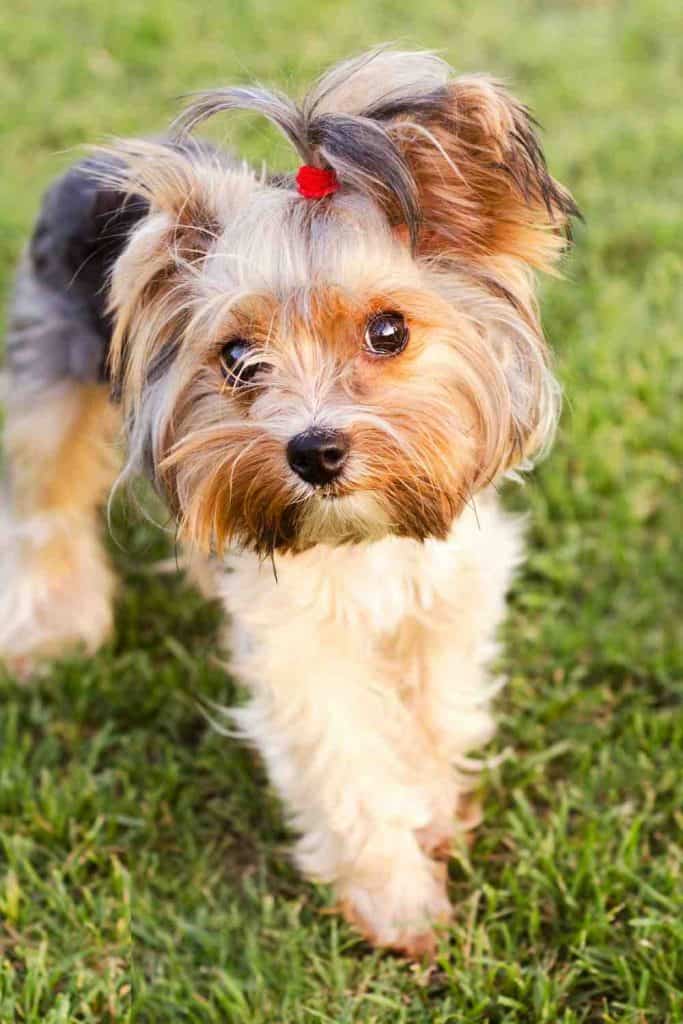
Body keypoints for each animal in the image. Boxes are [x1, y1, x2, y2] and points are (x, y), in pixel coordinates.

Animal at [0, 49, 577, 958]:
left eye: (388, 331)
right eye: (238, 358)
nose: (313, 451)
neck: (363, 533)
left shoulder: (449, 586)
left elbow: (436, 709)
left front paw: (433, 810)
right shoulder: (297, 638)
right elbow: (341, 757)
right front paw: (396, 899)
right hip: (47, 368)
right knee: (44, 499)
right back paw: (50, 633)